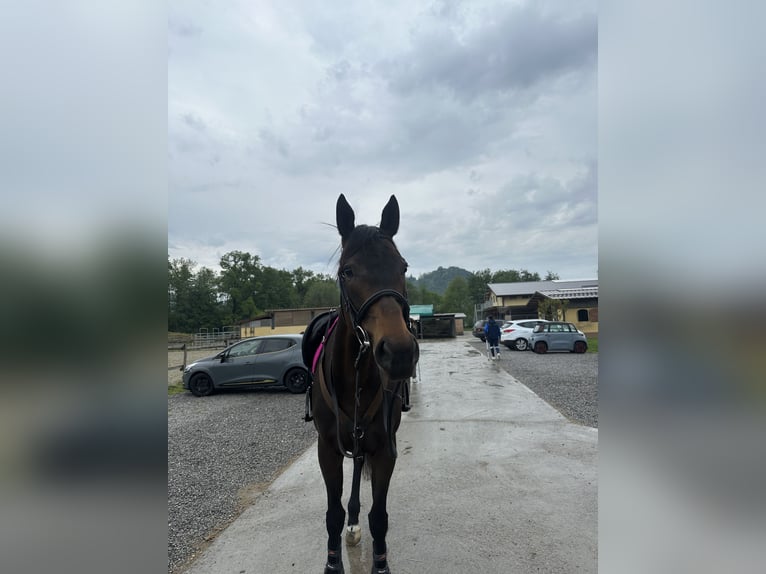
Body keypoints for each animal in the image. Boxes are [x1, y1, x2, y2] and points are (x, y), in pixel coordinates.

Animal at [304, 196, 420, 572]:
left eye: (403, 267)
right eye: (347, 272)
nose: (399, 351)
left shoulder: (385, 449)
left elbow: (379, 516)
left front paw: (380, 563)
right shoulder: (327, 449)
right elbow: (333, 513)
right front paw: (332, 563)